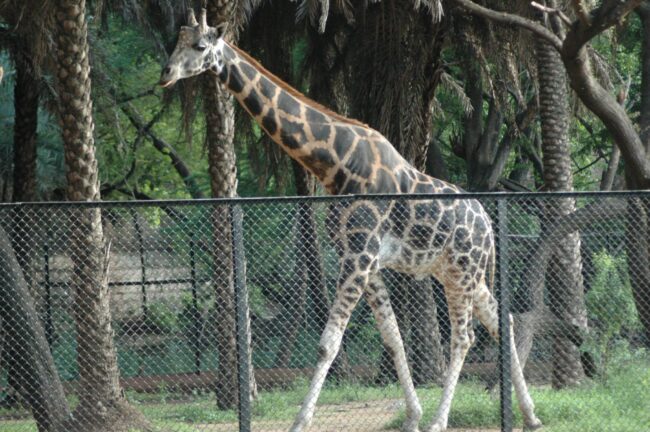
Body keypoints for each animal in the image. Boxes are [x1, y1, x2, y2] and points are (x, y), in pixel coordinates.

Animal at [159, 8, 540, 430]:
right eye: (175, 41)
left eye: (200, 46)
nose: (166, 73)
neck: (334, 164)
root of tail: (487, 223)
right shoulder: (362, 258)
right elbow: (392, 337)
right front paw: (412, 416)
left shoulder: (359, 255)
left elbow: (328, 343)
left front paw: (300, 421)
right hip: (457, 271)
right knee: (500, 320)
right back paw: (530, 415)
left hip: (463, 269)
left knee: (464, 336)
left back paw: (442, 420)